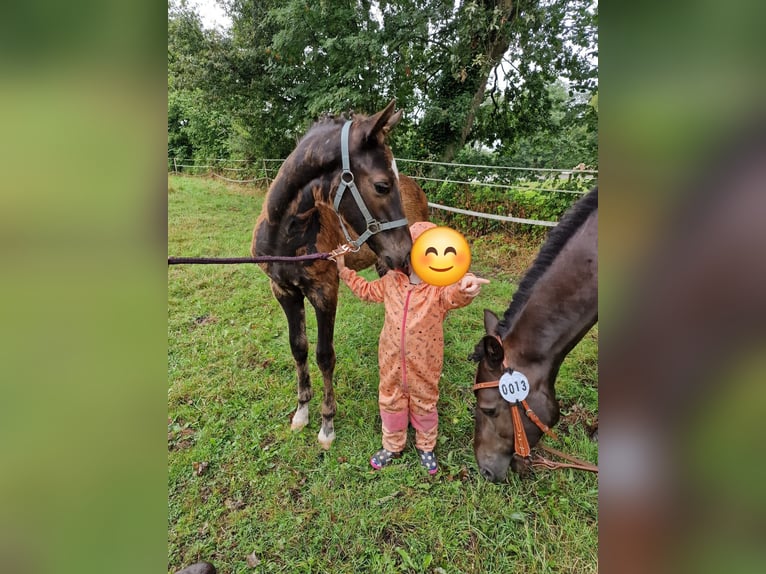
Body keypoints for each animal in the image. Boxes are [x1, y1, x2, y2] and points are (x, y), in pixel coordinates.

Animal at [250, 100, 416, 450]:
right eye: (382, 185)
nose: (406, 252)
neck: (284, 235)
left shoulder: (325, 291)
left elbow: (324, 355)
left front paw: (327, 424)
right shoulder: (283, 291)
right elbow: (298, 347)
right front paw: (302, 411)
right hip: (383, 263)